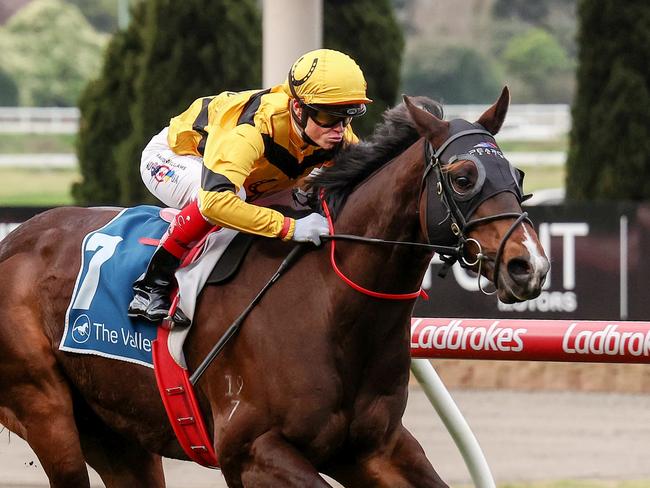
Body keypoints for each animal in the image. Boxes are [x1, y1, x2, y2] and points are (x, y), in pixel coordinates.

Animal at [0, 88, 548, 488]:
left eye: (517, 173)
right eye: (463, 177)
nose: (530, 266)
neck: (332, 309)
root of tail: (15, 241)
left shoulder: (373, 449)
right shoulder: (251, 450)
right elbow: (218, 198)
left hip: (118, 432)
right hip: (47, 412)